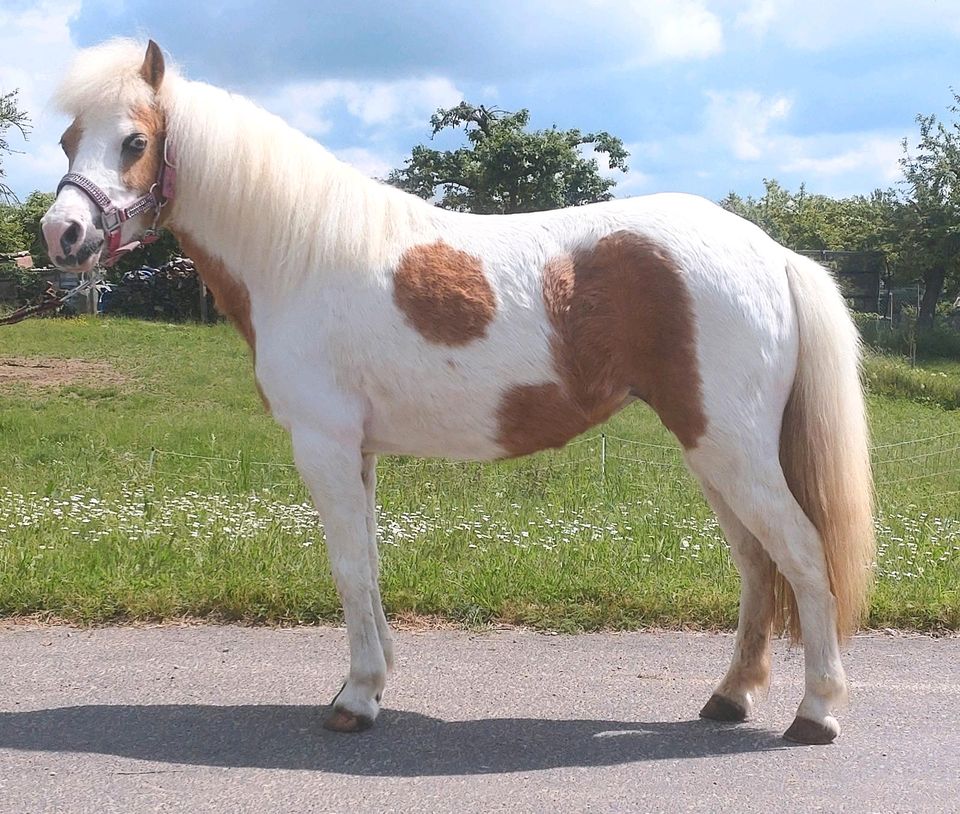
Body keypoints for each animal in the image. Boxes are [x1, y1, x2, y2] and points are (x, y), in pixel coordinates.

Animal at [41, 39, 872, 744]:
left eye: (135, 142)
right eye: (66, 140)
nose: (61, 234)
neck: (299, 255)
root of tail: (774, 254)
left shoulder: (323, 445)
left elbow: (348, 568)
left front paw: (355, 700)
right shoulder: (358, 452)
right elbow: (370, 565)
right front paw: (372, 684)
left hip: (730, 450)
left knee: (802, 554)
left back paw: (816, 713)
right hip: (713, 456)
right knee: (757, 566)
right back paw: (729, 697)